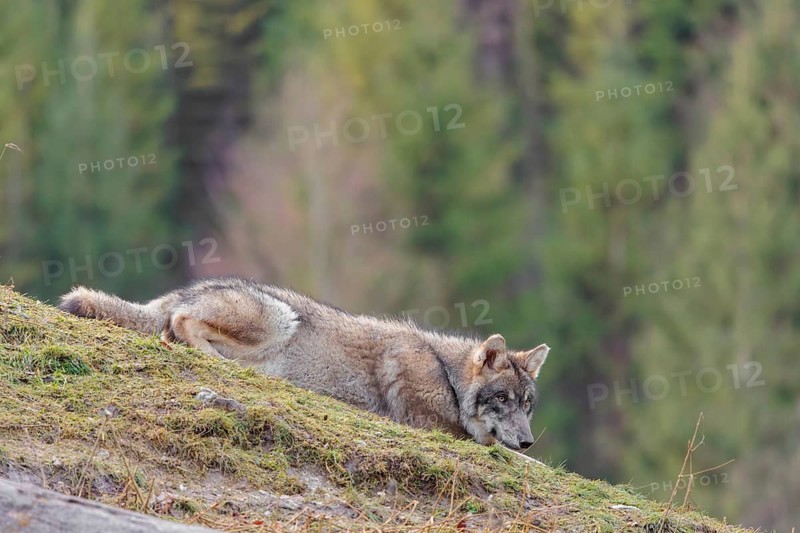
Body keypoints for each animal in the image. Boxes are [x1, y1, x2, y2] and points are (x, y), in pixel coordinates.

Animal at [59, 277, 549, 450]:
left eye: (527, 405)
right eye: (501, 399)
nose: (527, 442)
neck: (444, 372)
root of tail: (185, 288)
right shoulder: (431, 425)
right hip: (280, 318)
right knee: (179, 323)